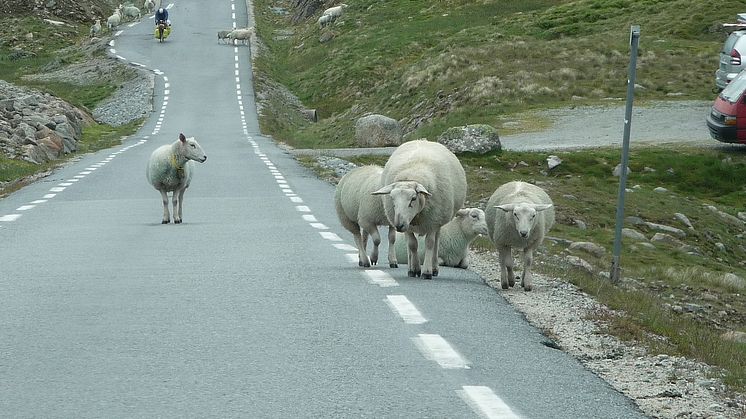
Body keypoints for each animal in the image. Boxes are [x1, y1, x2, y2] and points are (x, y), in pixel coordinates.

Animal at [372, 139, 464, 280]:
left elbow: (430, 244)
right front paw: (415, 269)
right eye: (392, 198)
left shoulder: (432, 221)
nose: (399, 225)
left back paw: (434, 268)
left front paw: (426, 271)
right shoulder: (408, 225)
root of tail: (423, 140)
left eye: (413, 198)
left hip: (439, 220)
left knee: (436, 242)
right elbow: (412, 245)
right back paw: (411, 267)